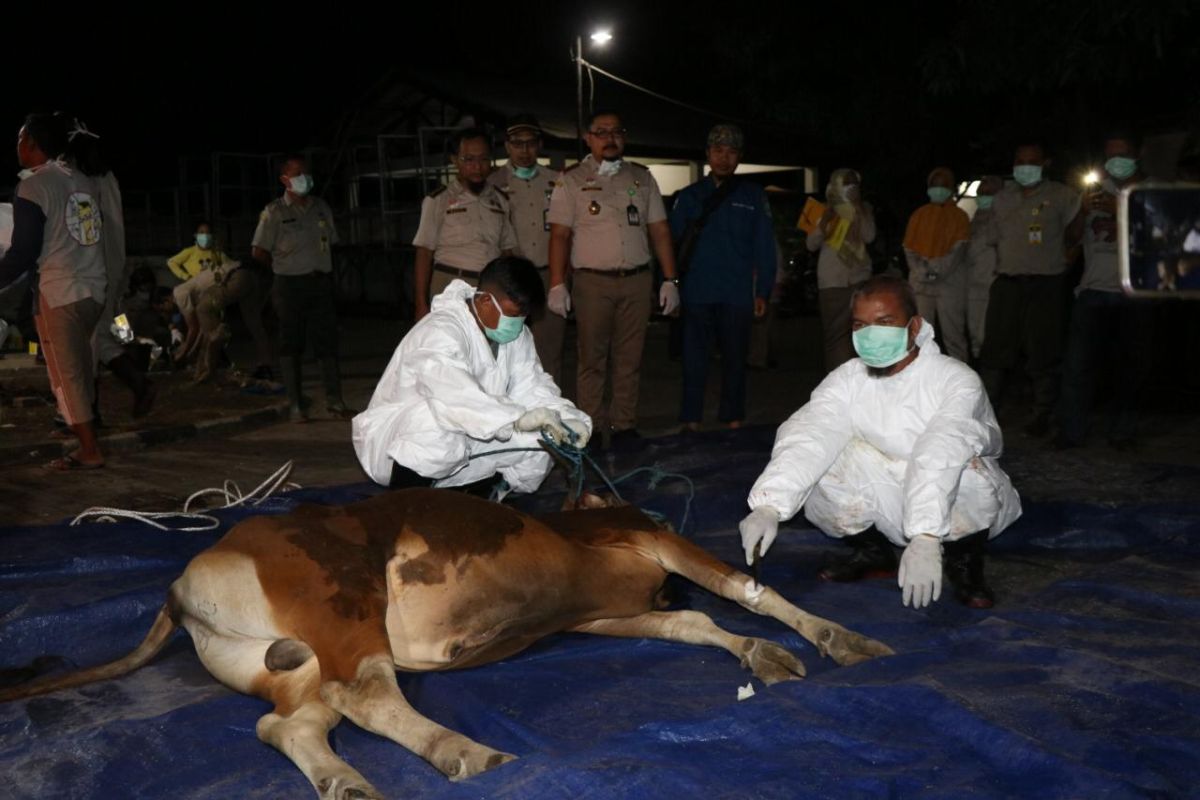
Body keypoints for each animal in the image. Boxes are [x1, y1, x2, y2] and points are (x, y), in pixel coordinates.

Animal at [0, 489, 897, 800]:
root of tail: (180, 585)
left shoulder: (595, 617)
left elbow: (693, 624)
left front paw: (762, 657)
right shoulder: (650, 541)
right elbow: (745, 590)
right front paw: (848, 640)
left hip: (287, 665)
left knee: (284, 723)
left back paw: (347, 783)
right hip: (346, 604)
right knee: (367, 695)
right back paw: (467, 753)